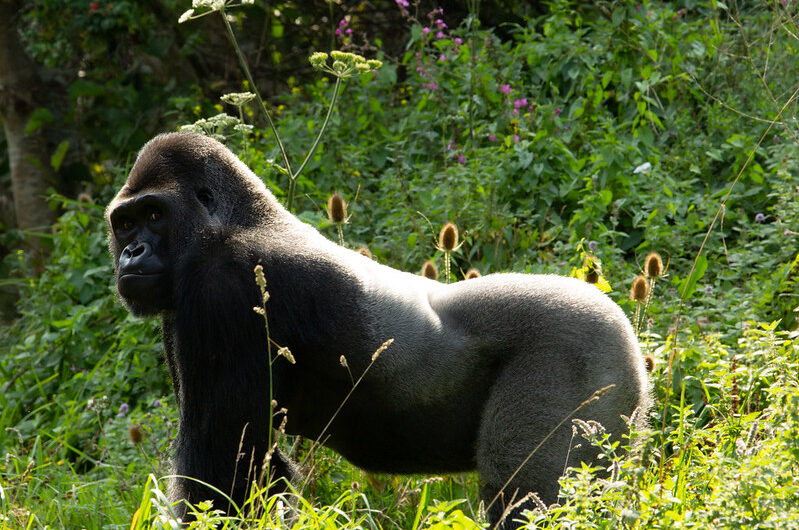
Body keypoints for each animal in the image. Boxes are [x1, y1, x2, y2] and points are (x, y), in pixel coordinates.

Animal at [106, 132, 652, 524]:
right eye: (125, 223)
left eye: (154, 214)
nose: (132, 253)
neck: (234, 221)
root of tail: (626, 326)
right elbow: (259, 473)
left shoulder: (221, 290)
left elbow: (222, 473)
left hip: (575, 348)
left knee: (525, 495)